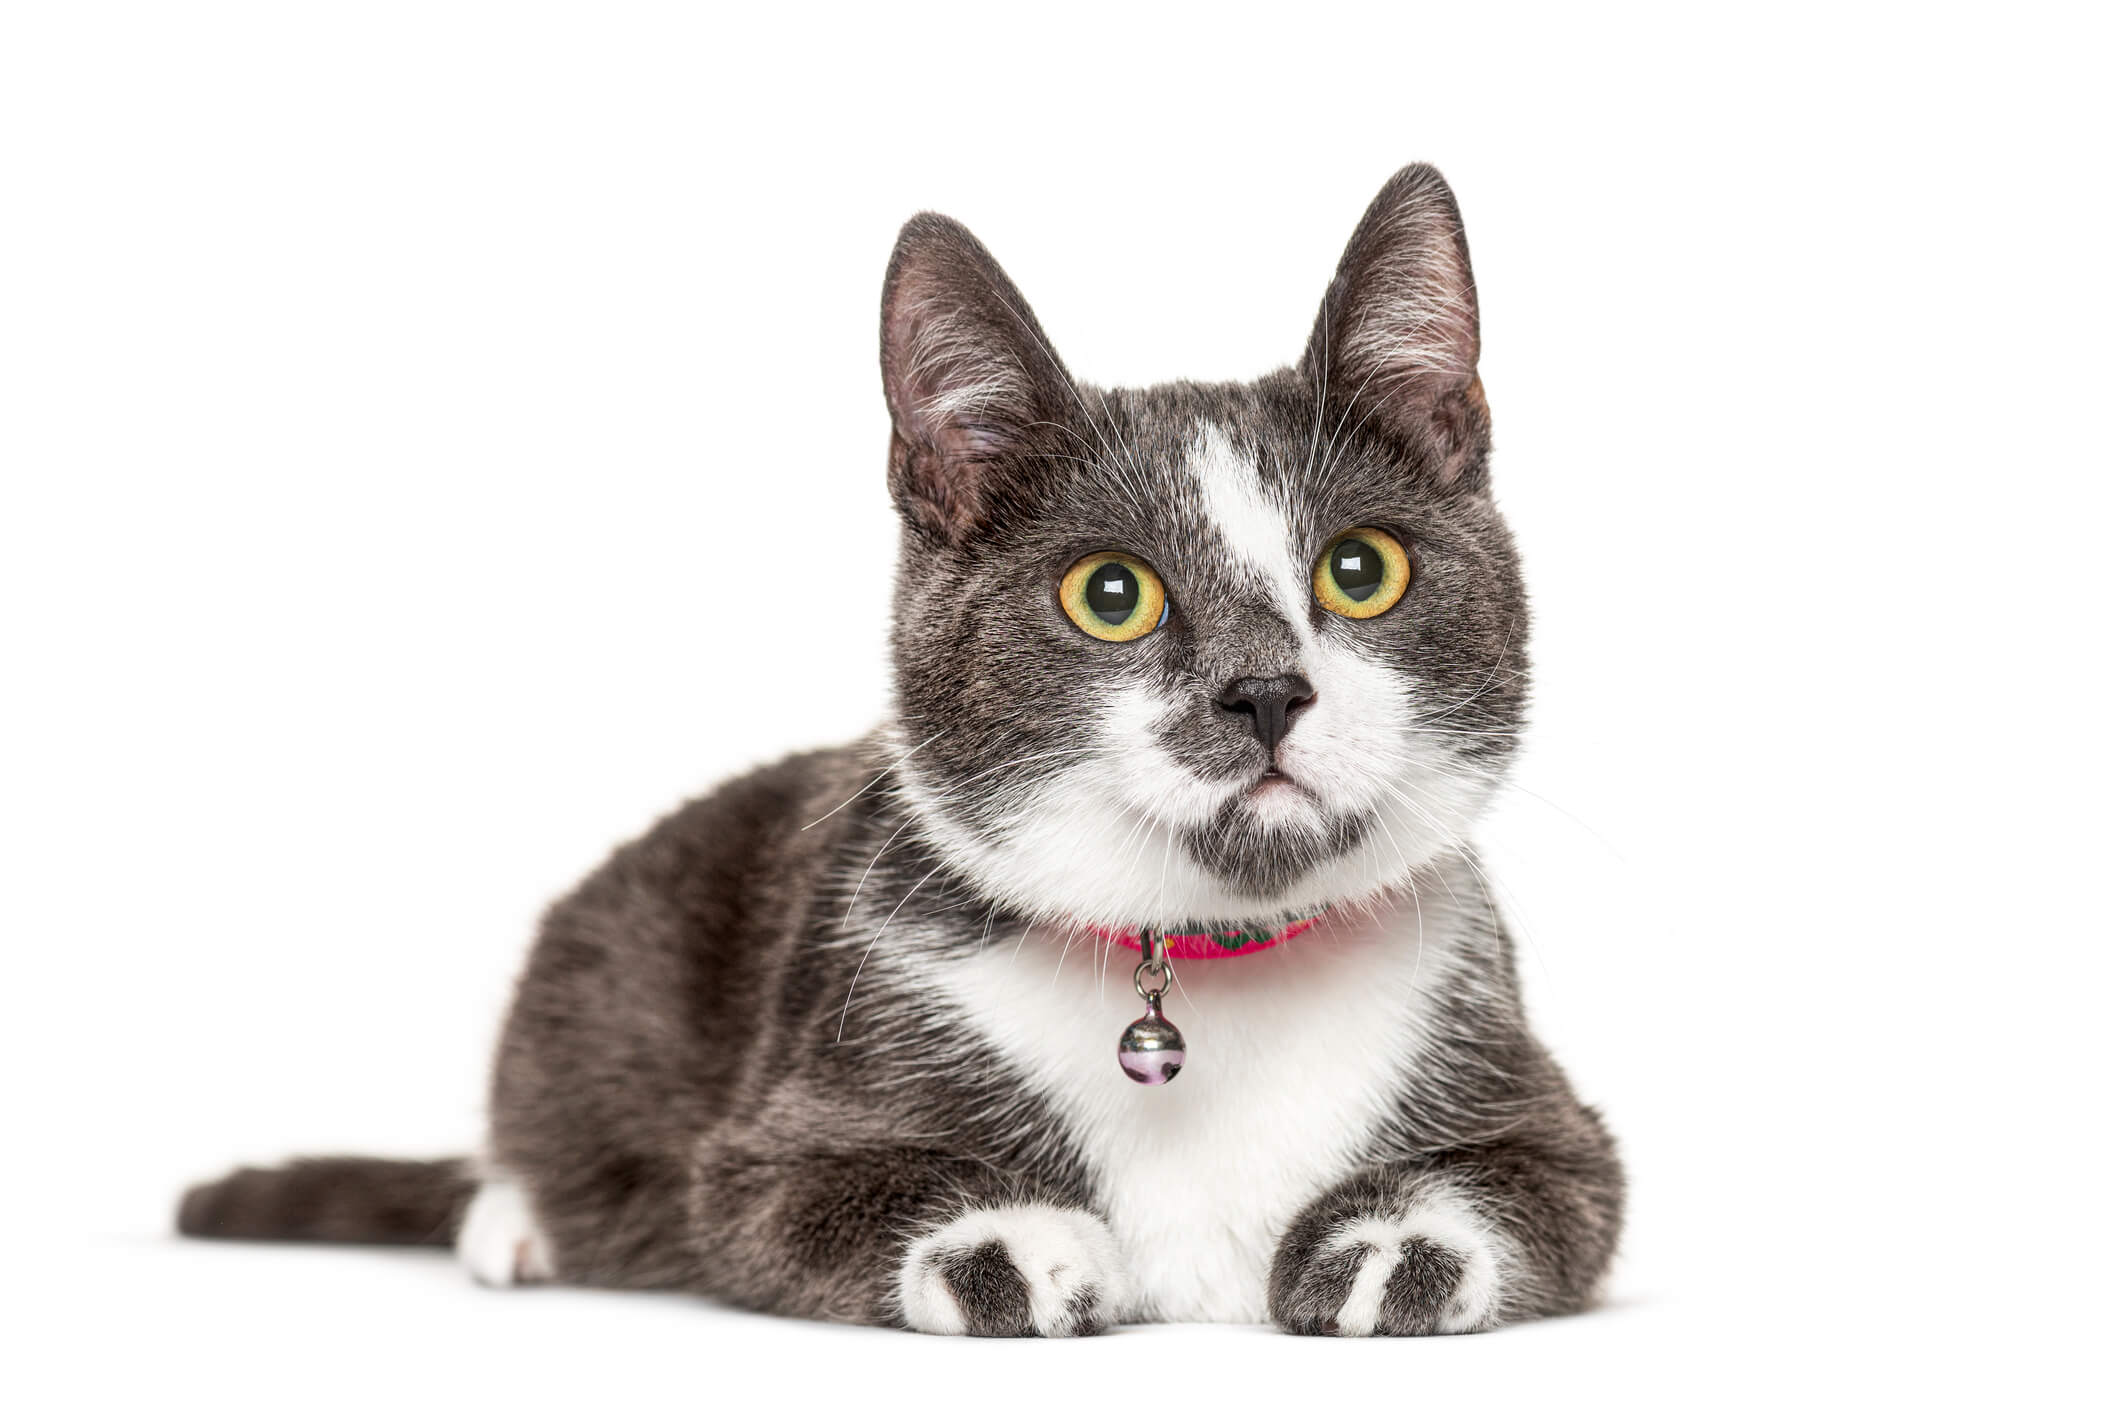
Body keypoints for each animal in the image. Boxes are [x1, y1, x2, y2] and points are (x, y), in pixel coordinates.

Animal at [185, 168, 1630, 1342]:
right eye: (1112, 595)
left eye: (1362, 569)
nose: (1267, 690)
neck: (1204, 952)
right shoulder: (779, 1120)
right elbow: (786, 1199)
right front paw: (1014, 1238)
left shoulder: (1552, 1113)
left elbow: (1550, 1184)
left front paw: (1394, 1237)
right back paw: (520, 1219)